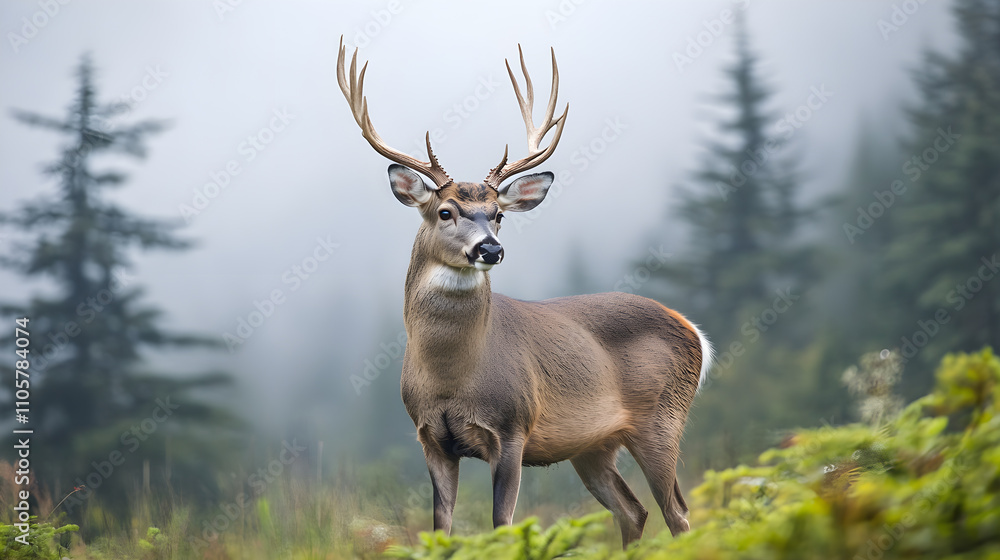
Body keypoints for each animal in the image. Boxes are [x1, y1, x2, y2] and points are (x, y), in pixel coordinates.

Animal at [336, 38, 713, 547]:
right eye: (446, 211)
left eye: (498, 214)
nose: (490, 248)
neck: (452, 376)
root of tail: (691, 327)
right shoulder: (430, 438)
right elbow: (442, 528)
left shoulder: (513, 428)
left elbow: (502, 525)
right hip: (593, 445)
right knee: (634, 510)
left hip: (662, 417)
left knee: (679, 513)